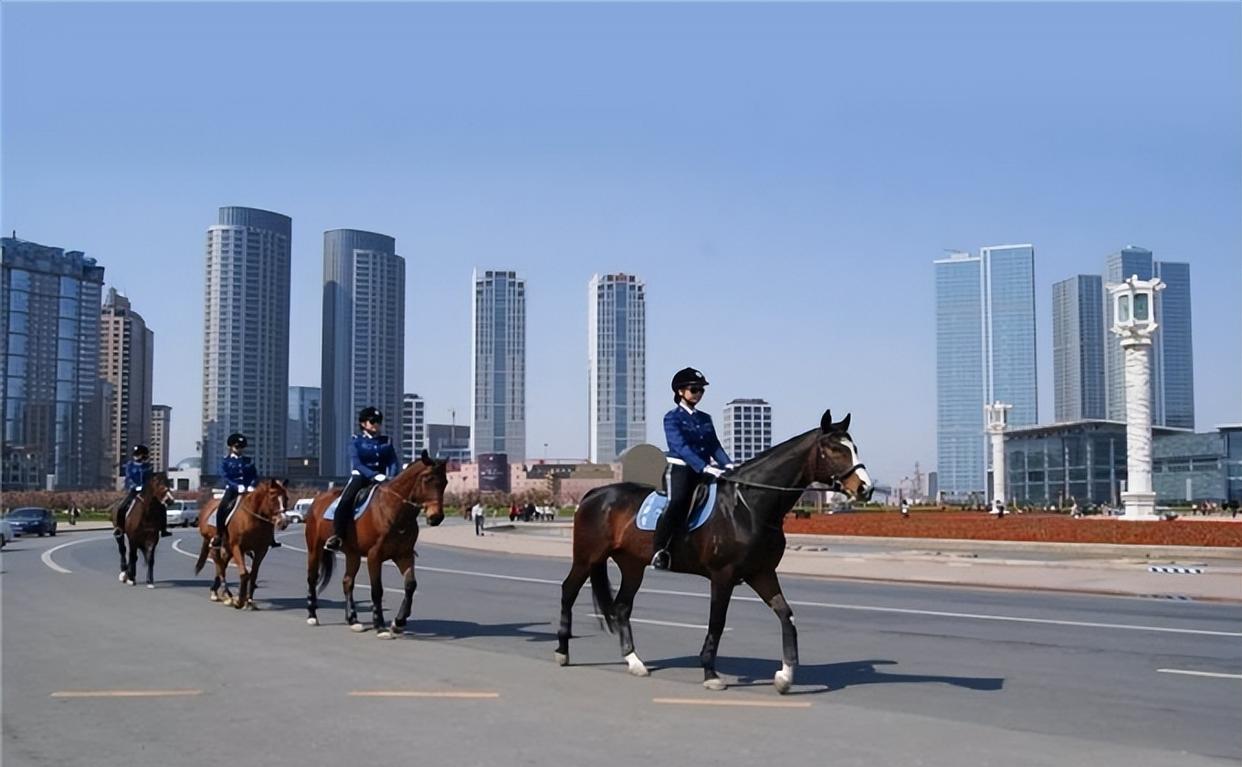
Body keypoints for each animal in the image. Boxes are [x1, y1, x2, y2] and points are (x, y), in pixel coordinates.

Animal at [192, 476, 289, 608]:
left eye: (286, 498)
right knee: (220, 567)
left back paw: (217, 591)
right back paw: (227, 595)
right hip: (214, 546)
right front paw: (240, 600)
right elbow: (244, 573)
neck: (253, 519)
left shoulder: (261, 550)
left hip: (227, 549)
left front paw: (250, 600)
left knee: (222, 565)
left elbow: (253, 574)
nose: (283, 522)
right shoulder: (237, 547)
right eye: (273, 498)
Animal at [306, 451, 452, 635]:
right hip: (314, 548)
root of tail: (317, 500)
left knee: (347, 582)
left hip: (352, 554)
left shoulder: (404, 555)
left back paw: (353, 620)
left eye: (445, 482)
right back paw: (312, 616)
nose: (436, 517)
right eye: (427, 479)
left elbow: (410, 585)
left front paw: (399, 621)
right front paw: (380, 624)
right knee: (312, 578)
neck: (394, 511)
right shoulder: (374, 556)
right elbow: (377, 589)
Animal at [553, 412, 874, 695]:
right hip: (587, 557)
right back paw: (562, 651)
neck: (748, 505)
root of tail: (594, 494)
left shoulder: (762, 573)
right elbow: (717, 622)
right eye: (834, 449)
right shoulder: (723, 576)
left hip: (632, 565)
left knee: (621, 607)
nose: (866, 489)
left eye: (854, 448)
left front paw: (785, 676)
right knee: (568, 591)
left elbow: (786, 615)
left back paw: (635, 662)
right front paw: (710, 673)